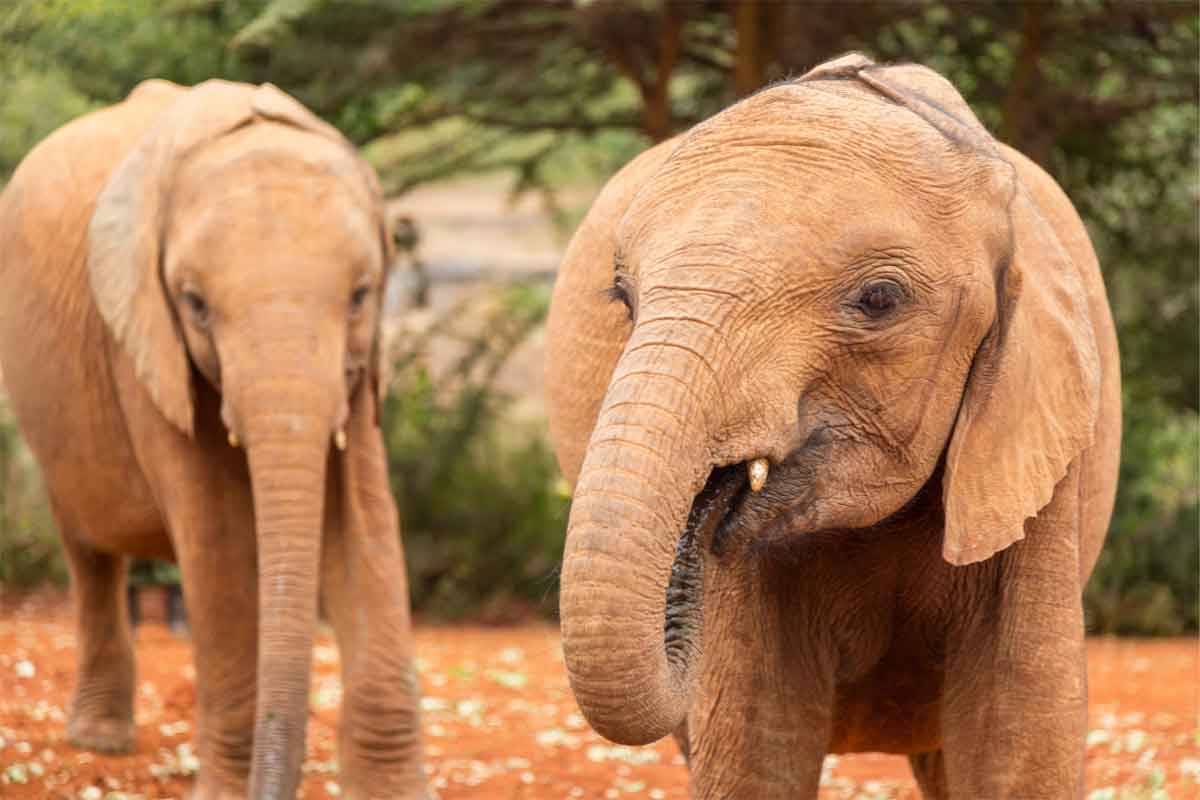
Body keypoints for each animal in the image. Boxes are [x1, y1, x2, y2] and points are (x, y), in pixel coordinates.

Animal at [0, 77, 427, 796]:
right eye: (195, 305)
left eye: (362, 295)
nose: (270, 783)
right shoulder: (144, 343)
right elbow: (219, 536)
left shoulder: (358, 370)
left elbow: (366, 526)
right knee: (88, 549)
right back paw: (99, 741)